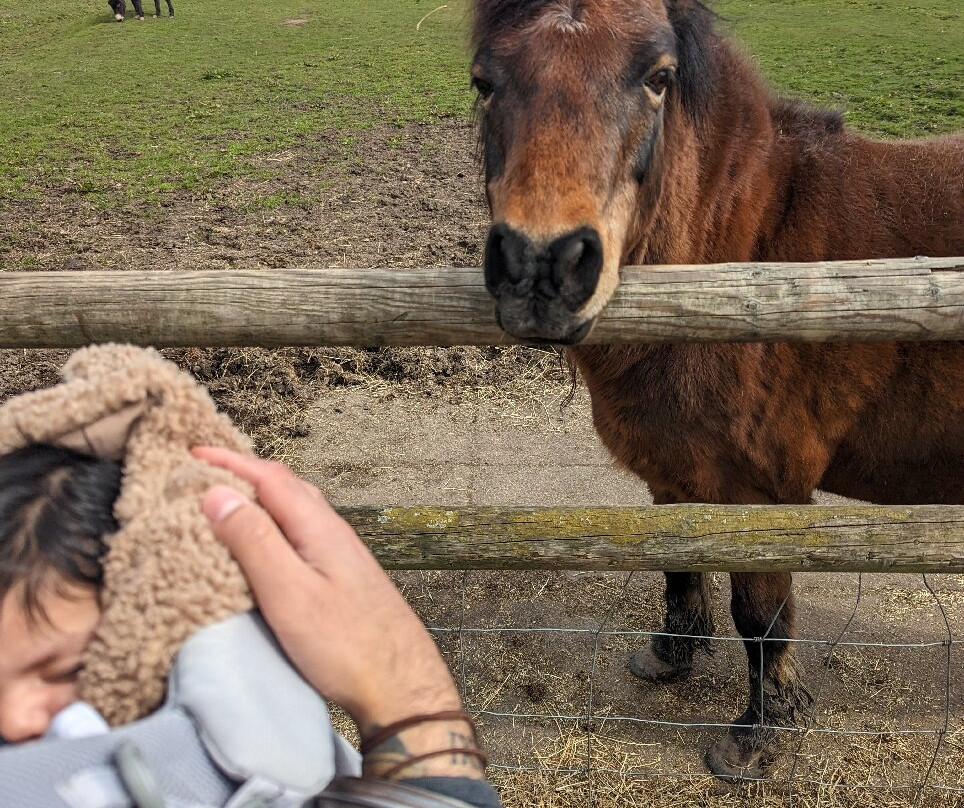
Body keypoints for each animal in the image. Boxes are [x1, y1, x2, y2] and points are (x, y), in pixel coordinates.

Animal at [468, 0, 964, 784]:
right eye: (484, 81)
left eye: (658, 77)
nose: (541, 267)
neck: (742, 253)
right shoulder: (674, 468)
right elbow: (675, 563)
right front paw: (671, 654)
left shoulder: (766, 495)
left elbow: (761, 618)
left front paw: (756, 736)